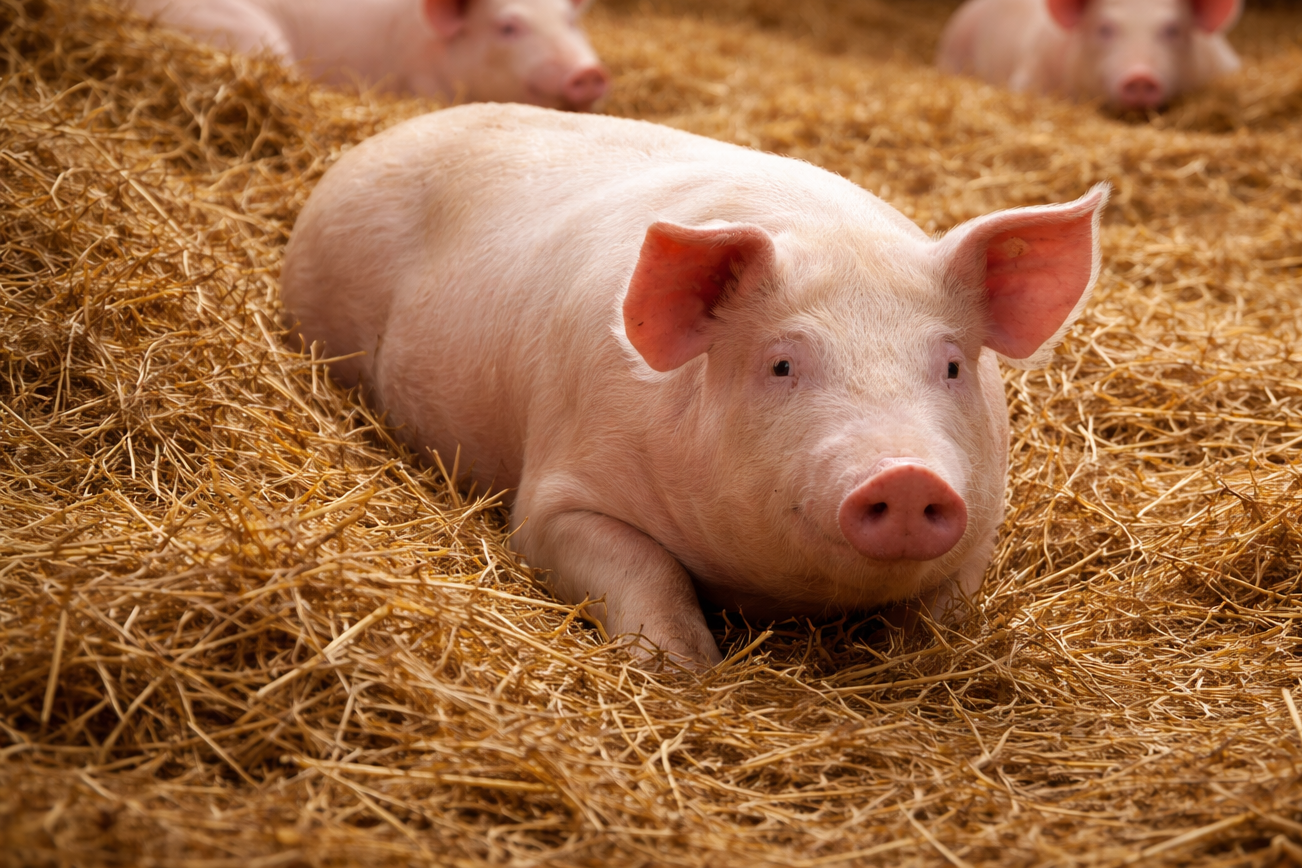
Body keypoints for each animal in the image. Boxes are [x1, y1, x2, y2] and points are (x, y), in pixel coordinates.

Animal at [281, 103, 1109, 667]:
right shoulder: (557, 494)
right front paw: (687, 674)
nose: (906, 476)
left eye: (951, 365)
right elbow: (646, 571)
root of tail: (384, 136)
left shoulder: (984, 517)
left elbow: (945, 608)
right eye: (781, 364)